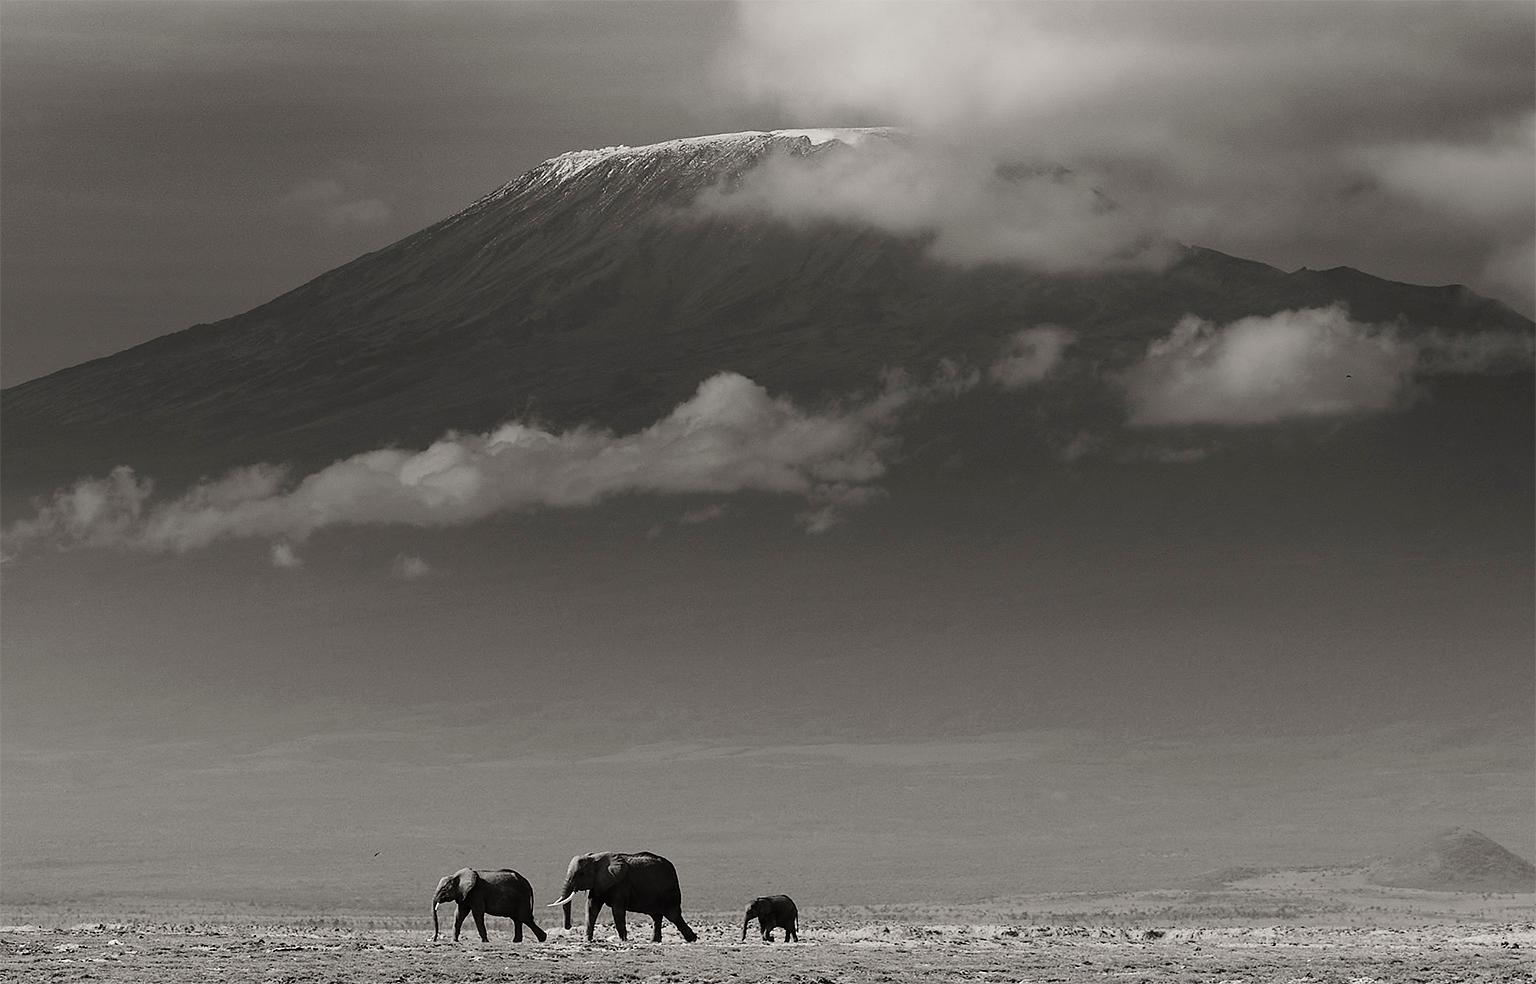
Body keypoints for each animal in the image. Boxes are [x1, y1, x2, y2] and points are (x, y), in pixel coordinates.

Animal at [549, 847, 700, 939]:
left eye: (581, 874)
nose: (568, 927)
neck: (596, 857)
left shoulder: (620, 884)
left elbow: (617, 910)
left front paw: (623, 940)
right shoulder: (599, 883)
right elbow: (592, 907)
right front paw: (588, 940)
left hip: (669, 891)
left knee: (673, 915)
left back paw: (692, 940)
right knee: (657, 917)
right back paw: (656, 941)